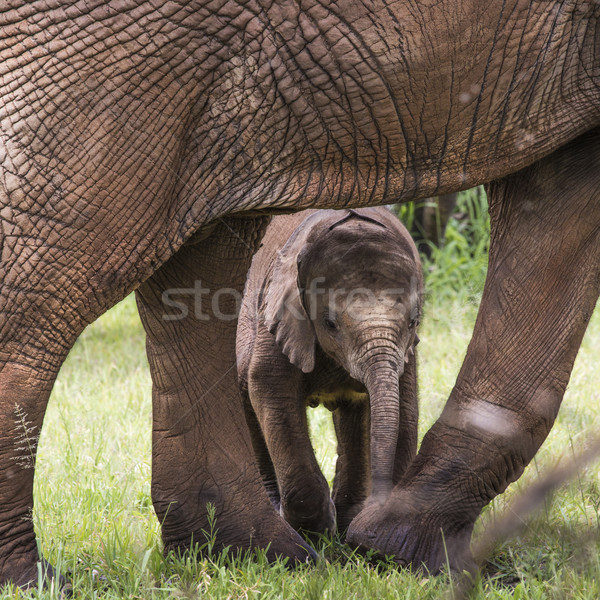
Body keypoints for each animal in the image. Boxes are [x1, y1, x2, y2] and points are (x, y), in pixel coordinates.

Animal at [237, 207, 424, 536]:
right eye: (330, 324)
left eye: (414, 321)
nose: (379, 502)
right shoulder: (277, 313)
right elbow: (268, 386)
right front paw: (314, 533)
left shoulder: (407, 352)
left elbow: (405, 405)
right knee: (245, 387)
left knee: (353, 414)